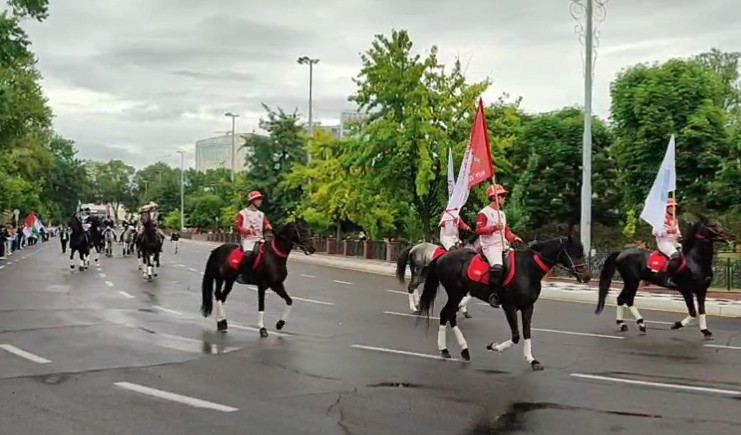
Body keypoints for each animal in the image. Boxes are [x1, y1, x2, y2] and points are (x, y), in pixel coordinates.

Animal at [416, 237, 588, 370]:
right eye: (576, 253)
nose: (587, 276)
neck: (527, 269)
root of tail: (443, 256)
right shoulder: (509, 307)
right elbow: (516, 336)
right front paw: (494, 346)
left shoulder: (528, 307)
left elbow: (526, 332)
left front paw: (532, 360)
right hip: (455, 293)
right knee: (445, 314)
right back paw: (445, 350)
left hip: (458, 294)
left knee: (450, 315)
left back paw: (464, 351)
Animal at [596, 218, 736, 340]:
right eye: (713, 225)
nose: (731, 235)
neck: (695, 261)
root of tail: (621, 252)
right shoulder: (686, 290)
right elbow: (693, 312)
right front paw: (676, 325)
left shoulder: (702, 290)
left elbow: (702, 310)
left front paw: (705, 331)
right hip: (632, 281)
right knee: (628, 300)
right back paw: (641, 324)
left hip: (630, 282)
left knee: (622, 299)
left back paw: (623, 324)